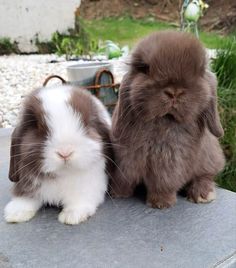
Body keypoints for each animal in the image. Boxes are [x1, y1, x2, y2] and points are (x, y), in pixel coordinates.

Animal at [4, 85, 113, 224]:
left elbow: (80, 199)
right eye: (37, 125)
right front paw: (15, 214)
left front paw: (72, 216)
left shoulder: (90, 185)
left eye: (86, 123)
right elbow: (25, 197)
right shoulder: (26, 182)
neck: (62, 173)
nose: (65, 152)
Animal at [110, 30, 225, 207]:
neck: (162, 122)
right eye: (144, 68)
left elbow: (163, 183)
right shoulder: (126, 159)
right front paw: (117, 194)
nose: (174, 92)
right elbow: (123, 179)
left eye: (200, 72)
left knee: (206, 175)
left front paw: (160, 203)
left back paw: (202, 194)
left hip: (209, 159)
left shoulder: (171, 162)